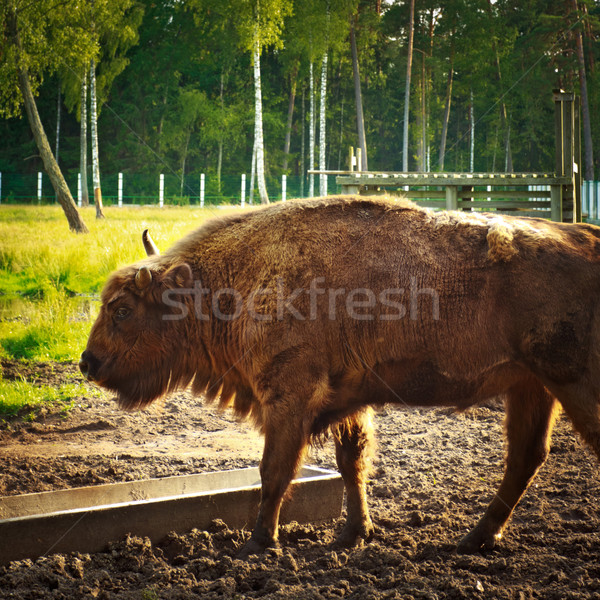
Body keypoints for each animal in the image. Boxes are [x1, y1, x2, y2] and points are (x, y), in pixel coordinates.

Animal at [81, 197, 600, 556]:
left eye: (122, 310)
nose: (88, 362)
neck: (232, 280)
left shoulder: (289, 397)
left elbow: (274, 470)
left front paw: (257, 543)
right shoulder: (348, 400)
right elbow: (352, 463)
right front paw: (354, 533)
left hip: (572, 383)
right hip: (532, 385)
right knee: (526, 457)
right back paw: (475, 539)